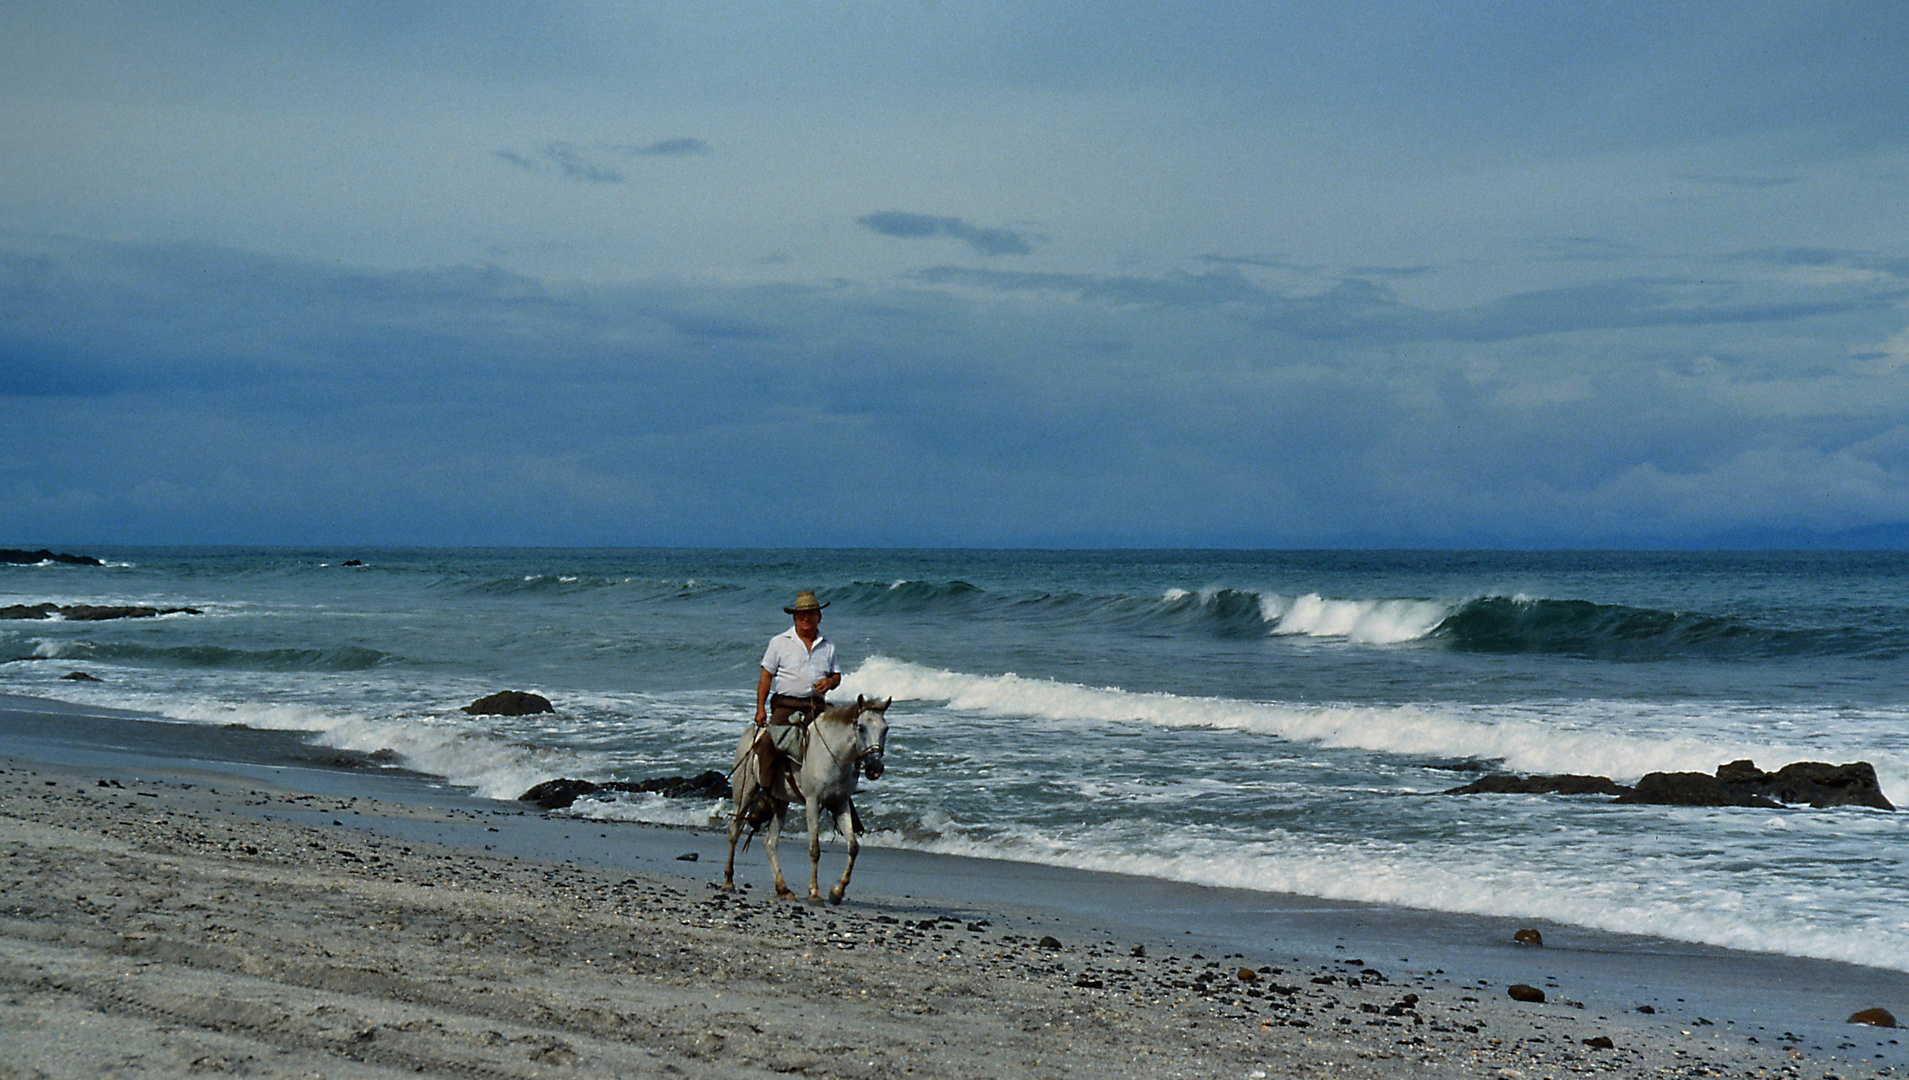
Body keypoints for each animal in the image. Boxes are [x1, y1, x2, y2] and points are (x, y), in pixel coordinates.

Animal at [717, 694, 889, 904]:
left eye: (885, 729)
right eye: (861, 727)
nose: (875, 767)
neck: (833, 754)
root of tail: (750, 734)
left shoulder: (840, 803)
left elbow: (853, 847)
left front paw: (837, 891)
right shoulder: (813, 802)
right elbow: (815, 850)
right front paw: (814, 893)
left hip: (781, 801)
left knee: (770, 842)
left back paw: (783, 889)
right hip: (744, 793)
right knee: (734, 831)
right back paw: (728, 882)